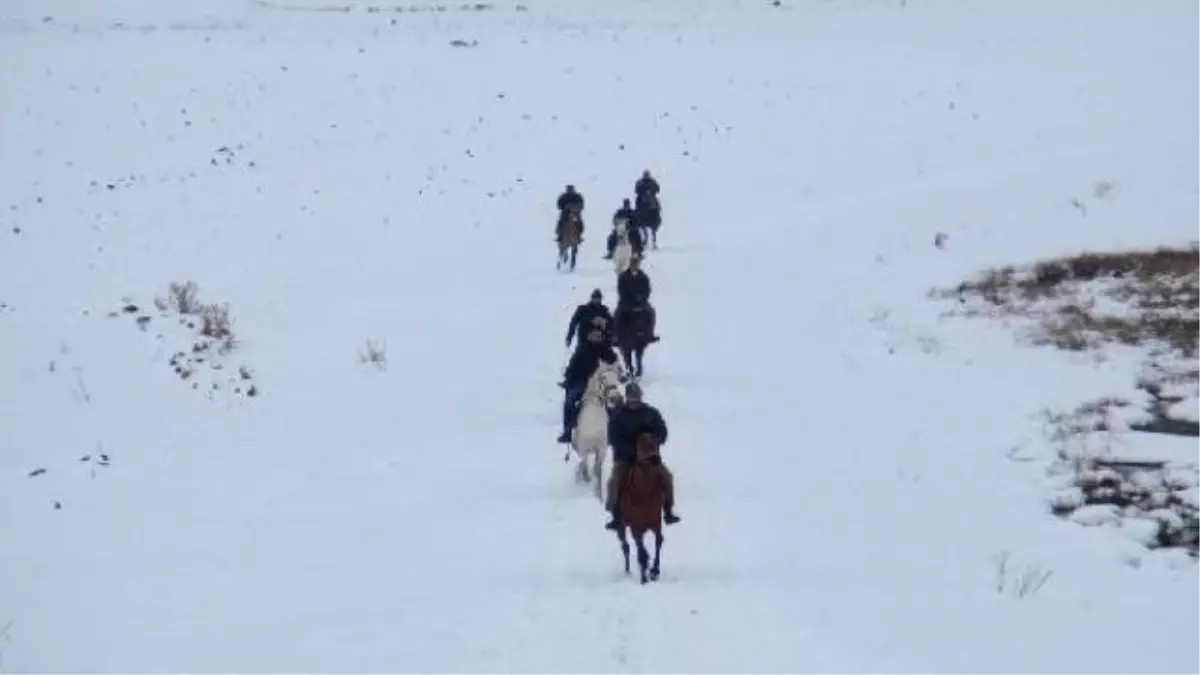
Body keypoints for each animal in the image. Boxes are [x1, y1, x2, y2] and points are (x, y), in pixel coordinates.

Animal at [568, 357, 628, 499]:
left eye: (617, 378)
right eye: (603, 378)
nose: (615, 398)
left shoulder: (601, 449)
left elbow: (597, 471)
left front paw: (598, 496)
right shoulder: (584, 449)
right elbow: (585, 467)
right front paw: (586, 480)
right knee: (582, 465)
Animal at [614, 432, 672, 581]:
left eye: (657, 443)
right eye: (641, 445)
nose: (656, 459)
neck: (644, 491)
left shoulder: (656, 523)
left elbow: (658, 542)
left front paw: (654, 571)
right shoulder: (636, 527)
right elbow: (641, 552)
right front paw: (644, 577)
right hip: (622, 526)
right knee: (626, 547)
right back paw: (628, 572)